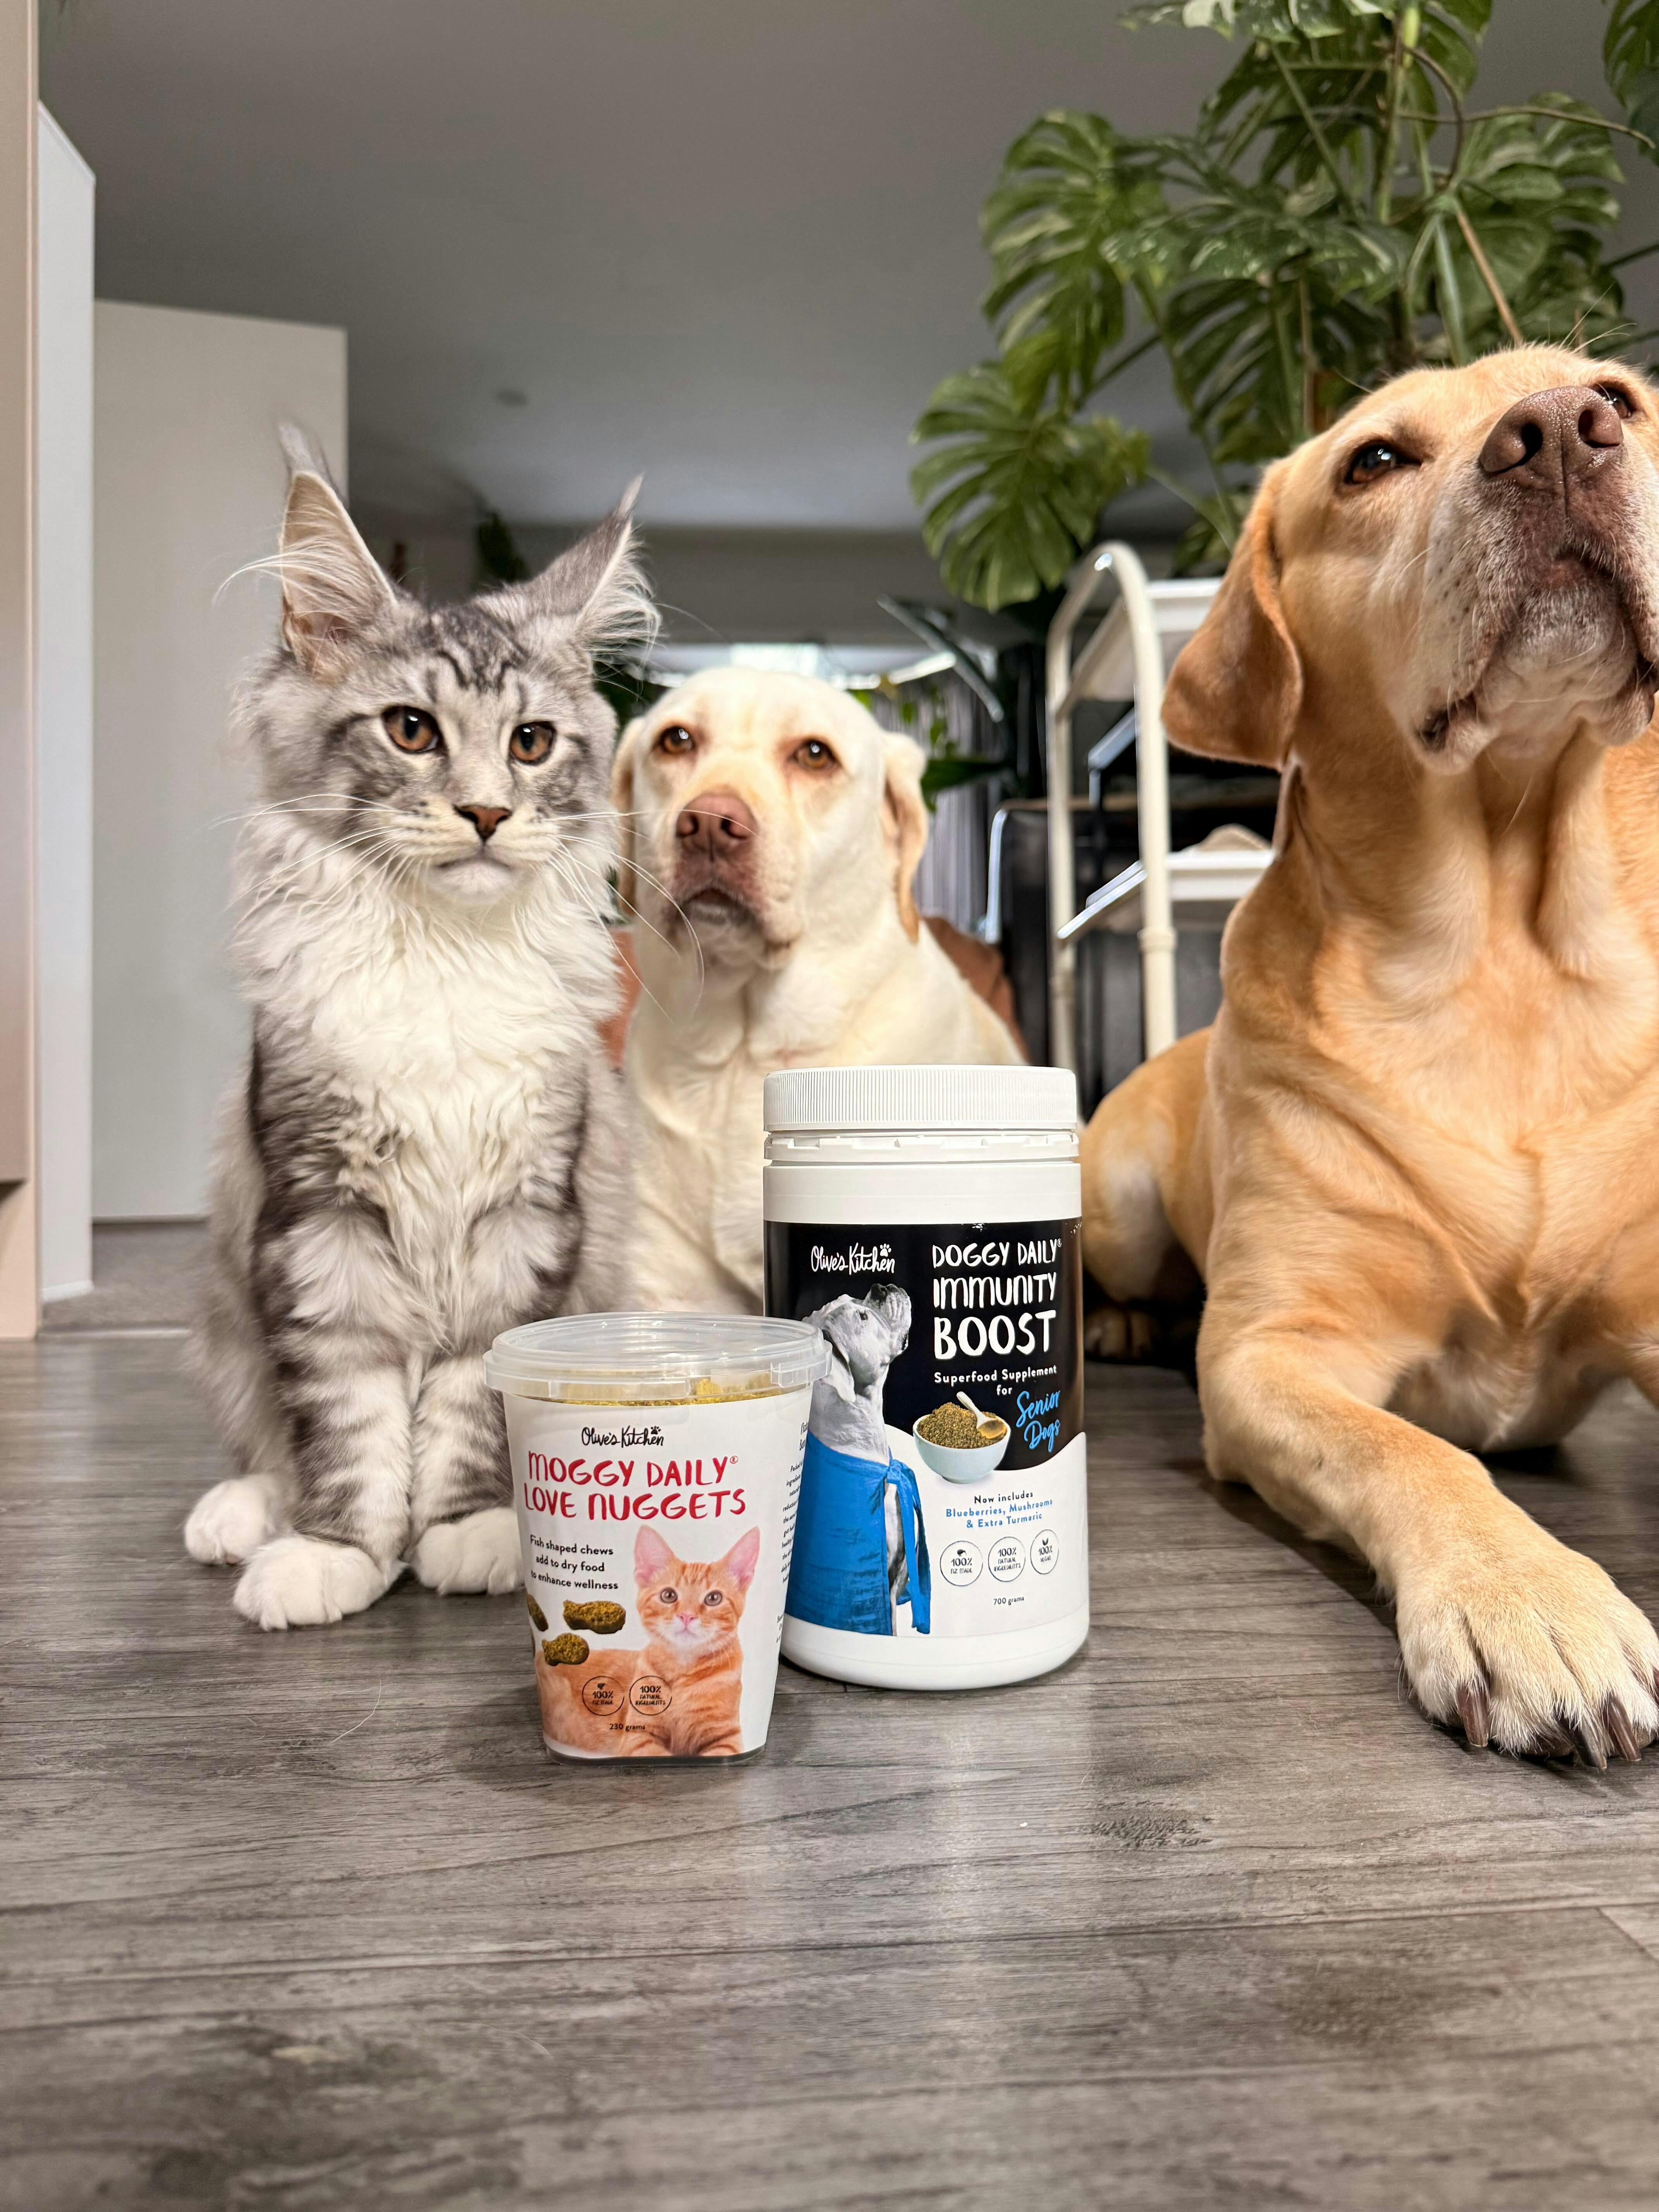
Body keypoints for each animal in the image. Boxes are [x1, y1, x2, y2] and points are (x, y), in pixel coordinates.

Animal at [183, 449, 652, 1629]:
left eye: (531, 743)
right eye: (411, 730)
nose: (486, 813)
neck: (442, 957)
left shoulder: (526, 1219)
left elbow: (471, 1404)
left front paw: (470, 1532)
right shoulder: (319, 1218)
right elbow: (346, 1422)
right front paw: (340, 1551)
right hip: (226, 1305)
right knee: (266, 1439)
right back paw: (241, 1516)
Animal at [538, 1525, 760, 1756]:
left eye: (714, 1598)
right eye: (669, 1595)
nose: (687, 1616)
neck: (682, 1671)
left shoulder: (728, 1738)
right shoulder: (638, 1736)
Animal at [1081, 346, 1659, 1765]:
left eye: (1617, 389)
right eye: (1375, 462)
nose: (1562, 432)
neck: (1501, 955)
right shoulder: (1270, 1353)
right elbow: (1418, 1453)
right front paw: (1529, 1598)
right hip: (1117, 1200)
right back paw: (1127, 1319)